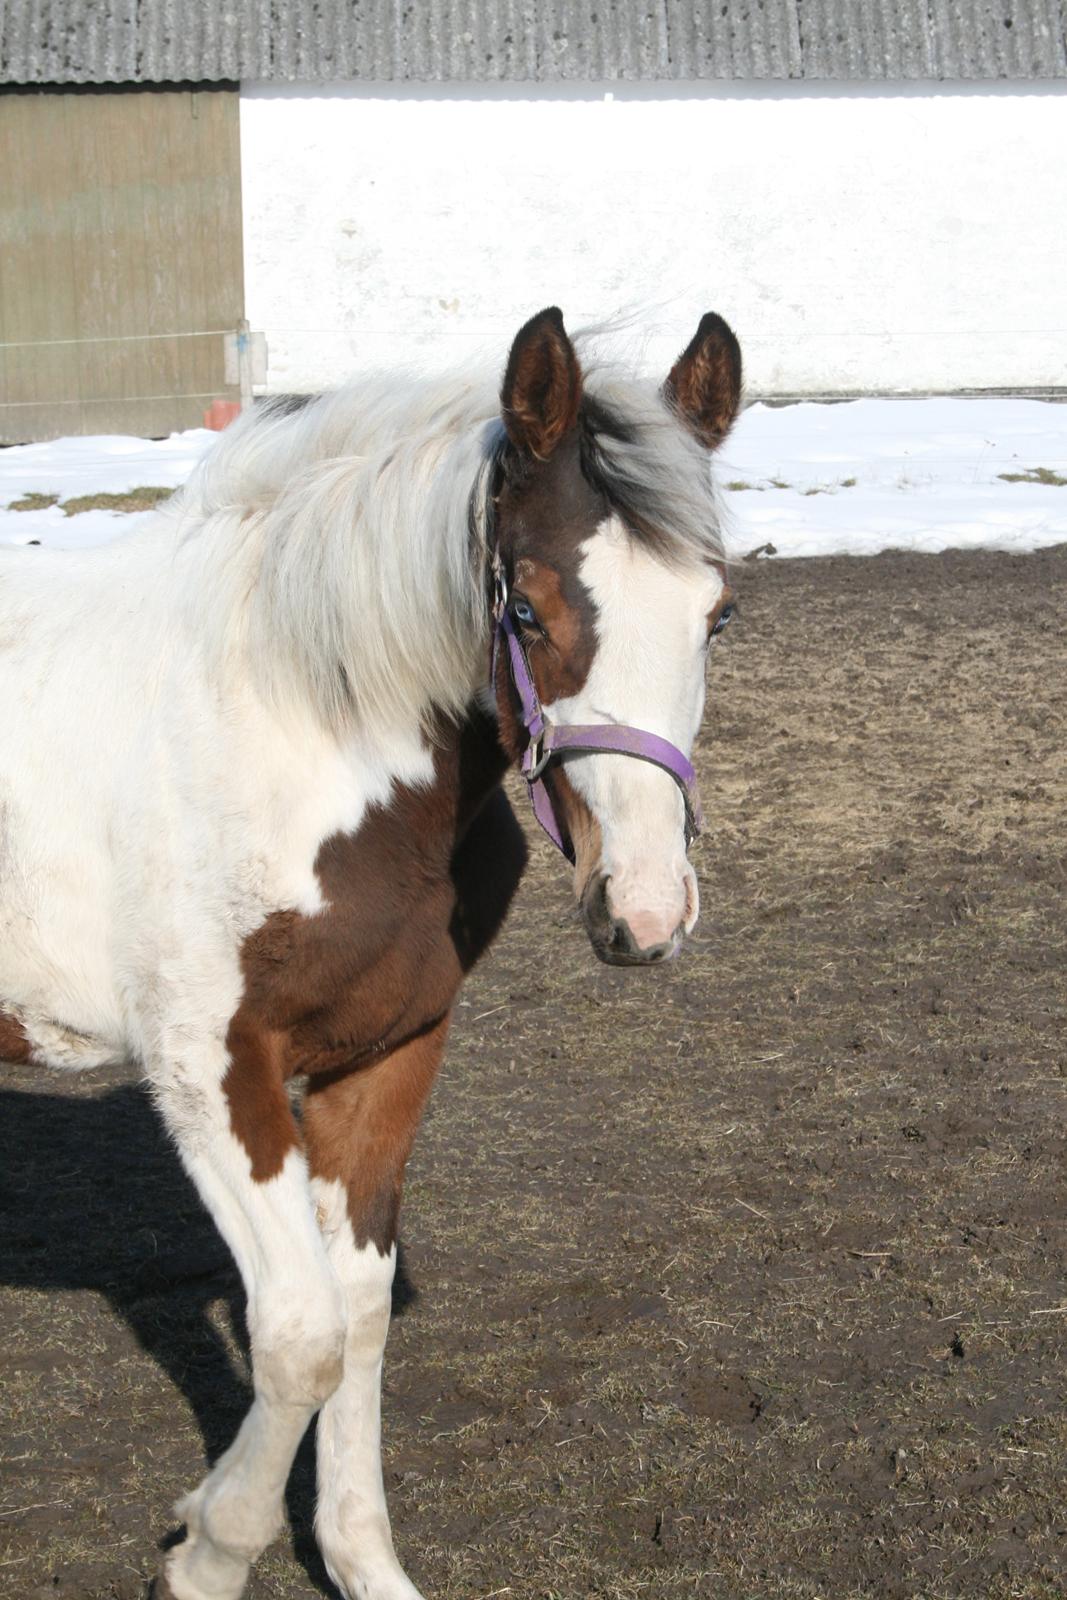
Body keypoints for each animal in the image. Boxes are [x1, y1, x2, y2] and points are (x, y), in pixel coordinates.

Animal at [0, 305, 742, 1593]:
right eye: (527, 609)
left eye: (716, 613)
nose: (642, 913)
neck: (297, 721)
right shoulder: (209, 1069)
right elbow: (296, 1337)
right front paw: (207, 1549)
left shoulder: (385, 1055)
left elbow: (353, 1321)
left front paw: (356, 1559)